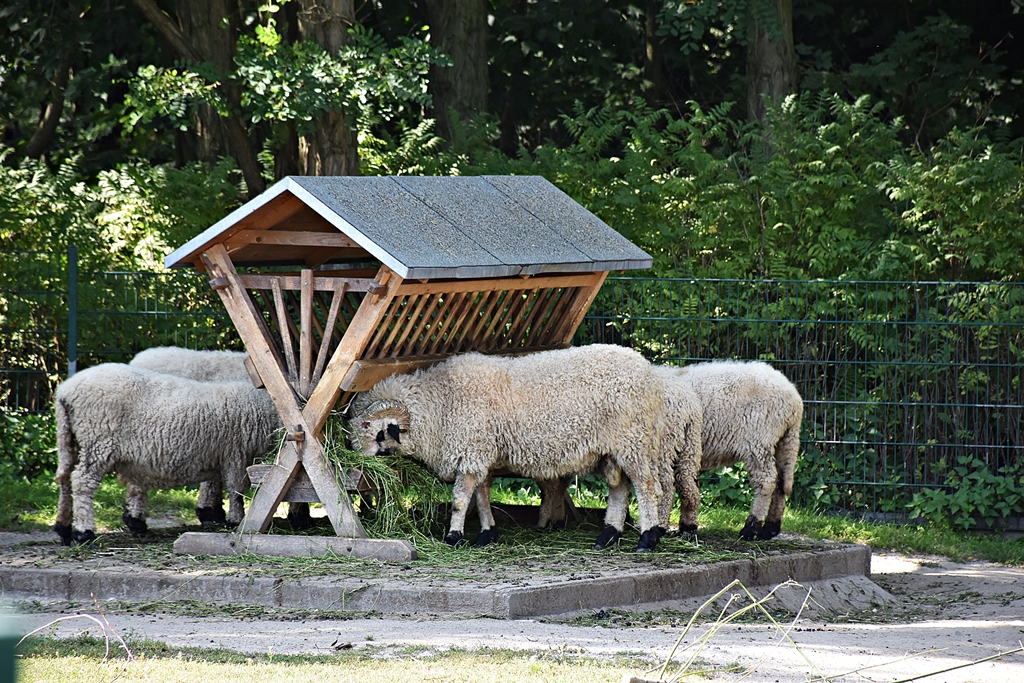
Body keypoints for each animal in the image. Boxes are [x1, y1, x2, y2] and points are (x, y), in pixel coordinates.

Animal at [52, 363, 281, 545]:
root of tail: (66, 391)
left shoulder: (218, 454)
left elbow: (215, 483)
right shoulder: (236, 453)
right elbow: (236, 490)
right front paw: (235, 519)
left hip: (68, 439)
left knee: (65, 479)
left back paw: (63, 528)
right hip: (97, 440)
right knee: (81, 482)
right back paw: (84, 532)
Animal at [350, 344, 671, 552]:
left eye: (376, 433)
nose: (357, 467)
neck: (441, 402)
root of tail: (648, 372)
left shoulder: (471, 450)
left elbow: (460, 500)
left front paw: (454, 536)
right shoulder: (480, 455)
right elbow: (481, 497)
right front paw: (487, 534)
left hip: (634, 440)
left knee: (647, 489)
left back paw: (647, 539)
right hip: (612, 450)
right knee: (620, 490)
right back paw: (607, 537)